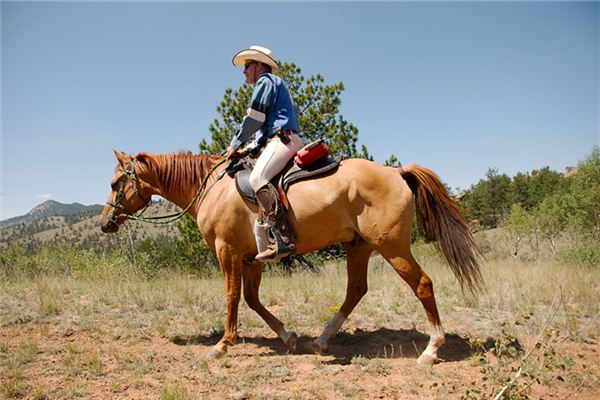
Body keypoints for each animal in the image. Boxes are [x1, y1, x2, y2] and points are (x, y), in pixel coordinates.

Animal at [99, 149, 482, 366]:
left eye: (117, 183)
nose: (105, 222)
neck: (211, 187)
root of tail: (396, 171)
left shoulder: (228, 252)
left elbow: (232, 296)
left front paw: (222, 345)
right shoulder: (251, 259)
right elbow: (252, 300)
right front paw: (288, 336)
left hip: (392, 247)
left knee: (422, 284)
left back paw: (431, 350)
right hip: (358, 246)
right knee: (356, 290)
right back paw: (322, 340)